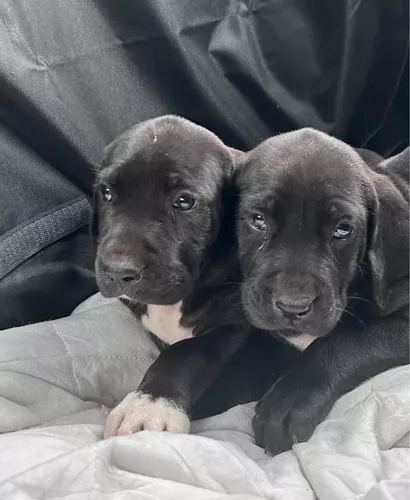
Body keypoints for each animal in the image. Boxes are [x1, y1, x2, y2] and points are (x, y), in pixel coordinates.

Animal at [92, 116, 298, 438]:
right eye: (107, 193)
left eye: (185, 201)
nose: (117, 271)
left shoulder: (234, 325)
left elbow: (184, 352)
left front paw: (149, 405)